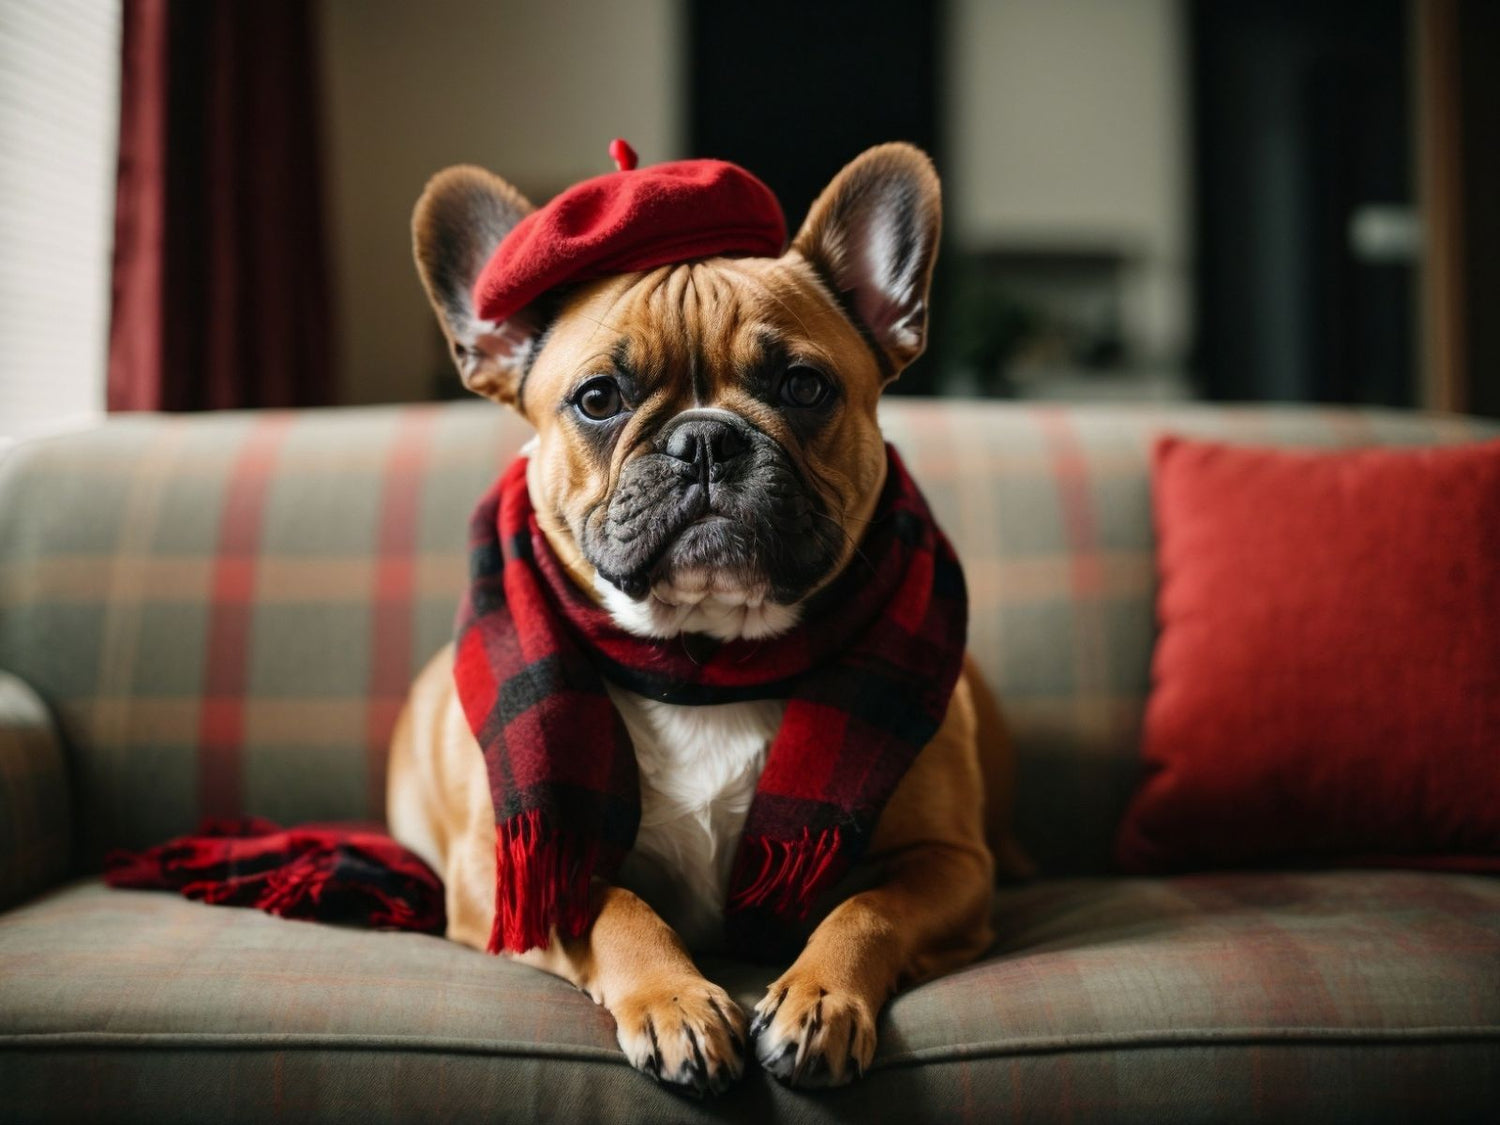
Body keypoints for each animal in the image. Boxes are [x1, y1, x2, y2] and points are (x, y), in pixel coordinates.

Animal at [387, 138, 1026, 1092]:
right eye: (599, 398)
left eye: (804, 386)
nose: (706, 438)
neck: (706, 656)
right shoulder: (514, 868)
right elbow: (612, 902)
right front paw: (676, 1001)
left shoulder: (948, 864)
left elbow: (867, 907)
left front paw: (819, 999)